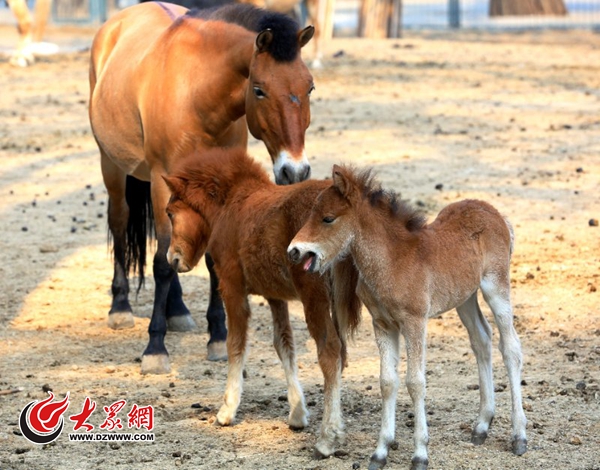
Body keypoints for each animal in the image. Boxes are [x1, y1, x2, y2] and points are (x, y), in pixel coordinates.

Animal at [90, 0, 314, 374]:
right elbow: (162, 263)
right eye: (259, 90)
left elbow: (207, 259)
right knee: (121, 224)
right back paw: (120, 307)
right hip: (113, 167)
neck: (197, 93)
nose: (294, 170)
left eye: (309, 88)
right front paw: (155, 349)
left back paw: (177, 310)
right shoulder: (161, 181)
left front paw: (219, 337)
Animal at [164, 149, 358, 458]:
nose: (173, 259)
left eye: (170, 213)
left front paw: (227, 410)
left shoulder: (231, 285)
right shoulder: (274, 295)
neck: (231, 205)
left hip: (314, 298)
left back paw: (328, 437)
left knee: (330, 351)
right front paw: (297, 413)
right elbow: (284, 344)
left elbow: (235, 343)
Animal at [288, 165, 528, 470]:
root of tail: (497, 214)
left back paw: (519, 436)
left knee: (510, 347)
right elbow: (387, 382)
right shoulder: (383, 324)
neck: (392, 261)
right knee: (481, 340)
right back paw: (481, 426)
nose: (294, 251)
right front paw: (380, 452)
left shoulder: (415, 322)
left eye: (328, 218)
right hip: (464, 297)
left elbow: (415, 383)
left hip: (496, 287)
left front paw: (420, 454)